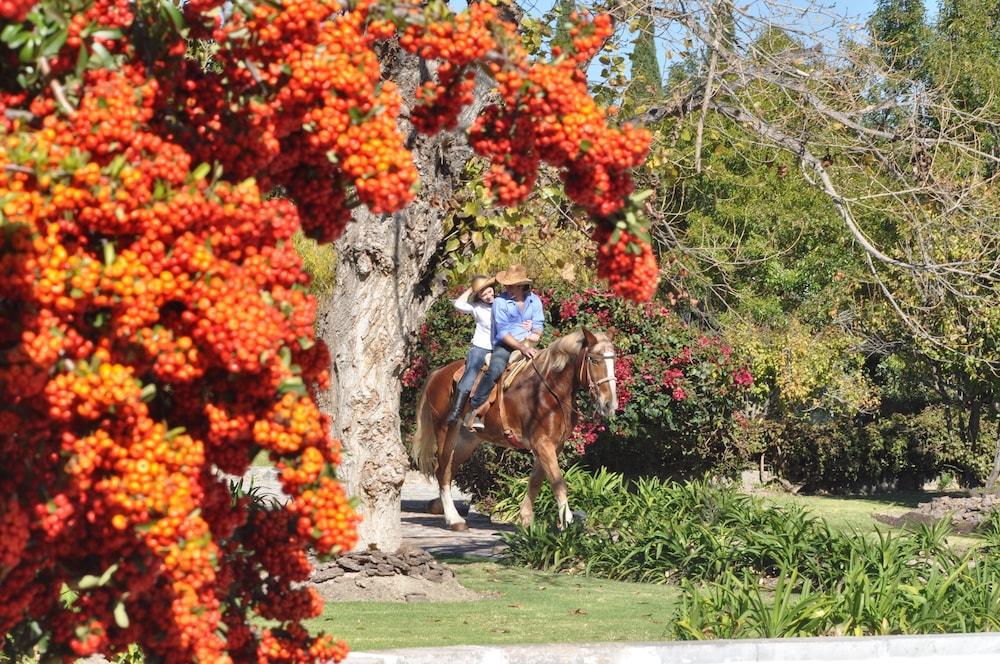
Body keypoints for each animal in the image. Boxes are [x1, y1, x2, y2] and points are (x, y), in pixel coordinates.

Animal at [408, 330, 616, 532]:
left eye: (614, 361)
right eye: (594, 360)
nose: (609, 404)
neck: (549, 392)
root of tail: (438, 373)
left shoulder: (553, 446)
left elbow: (535, 481)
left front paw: (526, 523)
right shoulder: (542, 443)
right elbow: (558, 483)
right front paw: (568, 525)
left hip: (467, 440)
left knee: (448, 470)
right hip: (445, 430)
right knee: (442, 470)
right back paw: (454, 519)